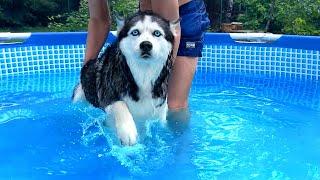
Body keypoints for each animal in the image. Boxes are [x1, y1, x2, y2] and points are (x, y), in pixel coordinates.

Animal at [72, 11, 176, 145]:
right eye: (135, 32)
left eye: (157, 33)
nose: (146, 45)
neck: (143, 73)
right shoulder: (107, 94)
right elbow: (119, 104)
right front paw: (127, 131)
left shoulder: (159, 106)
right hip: (79, 96)